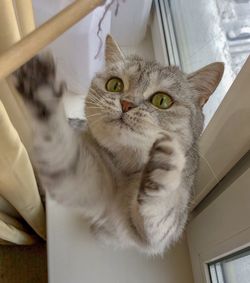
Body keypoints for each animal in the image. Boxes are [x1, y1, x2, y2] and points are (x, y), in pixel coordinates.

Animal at [13, 35, 225, 255]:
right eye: (115, 85)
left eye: (162, 100)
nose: (126, 104)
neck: (128, 167)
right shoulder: (78, 181)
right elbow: (59, 145)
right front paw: (41, 90)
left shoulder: (154, 236)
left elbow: (162, 210)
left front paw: (163, 167)